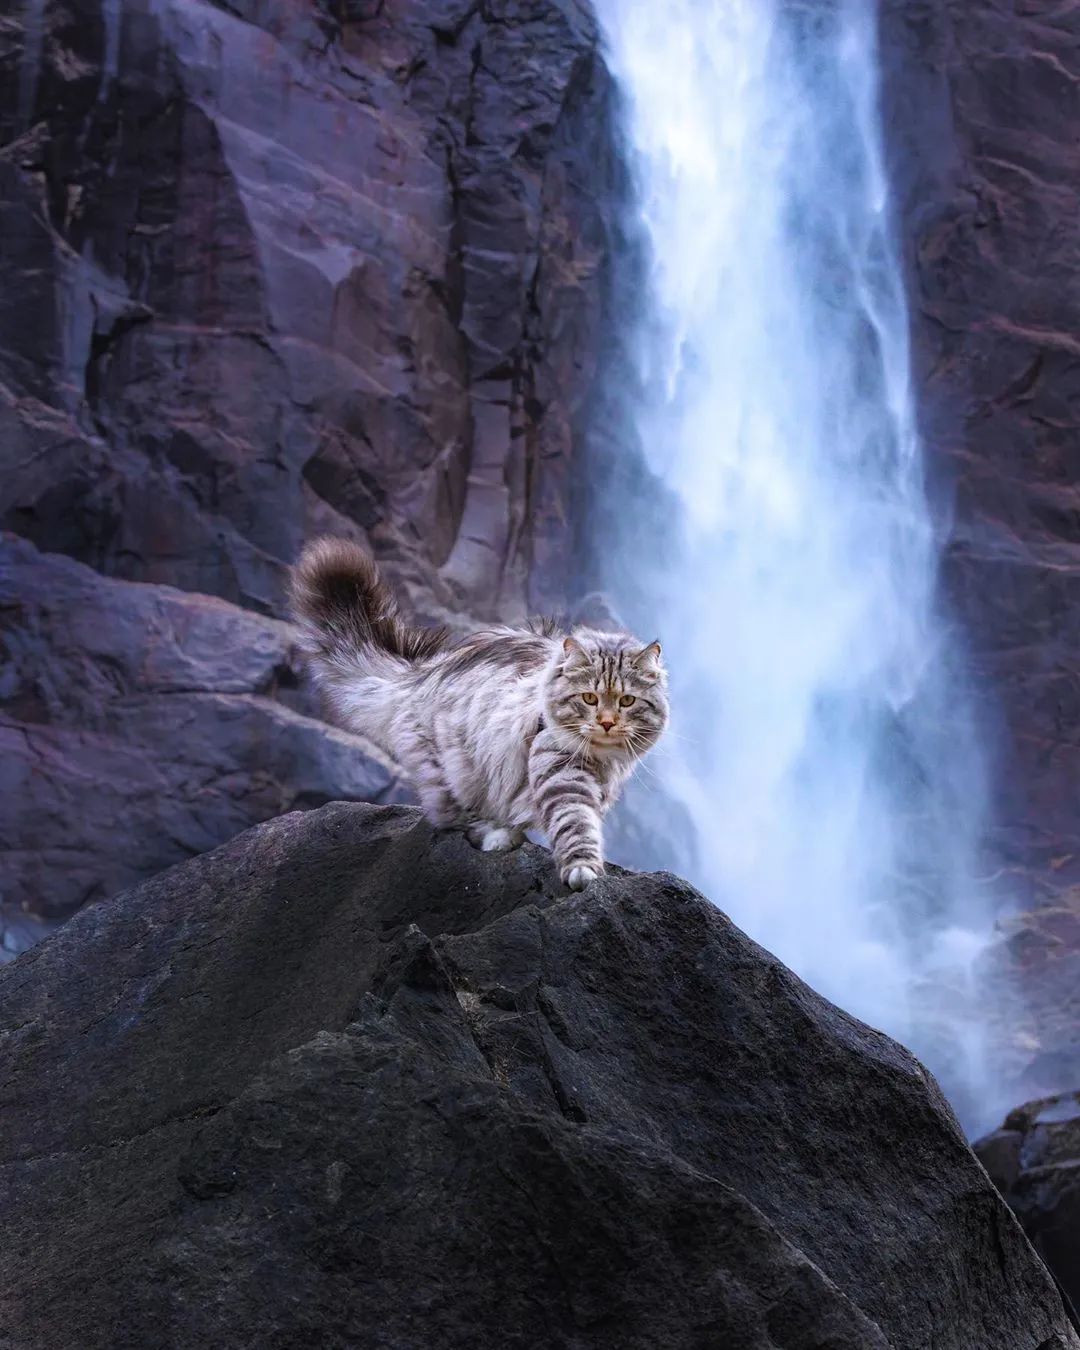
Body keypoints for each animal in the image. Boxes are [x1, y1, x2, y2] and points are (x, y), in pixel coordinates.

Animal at [291, 531, 669, 891]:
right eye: (589, 698)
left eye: (626, 701)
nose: (606, 723)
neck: (602, 760)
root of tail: (423, 672)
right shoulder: (561, 771)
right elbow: (575, 822)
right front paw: (583, 870)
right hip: (456, 766)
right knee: (451, 817)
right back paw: (498, 836)